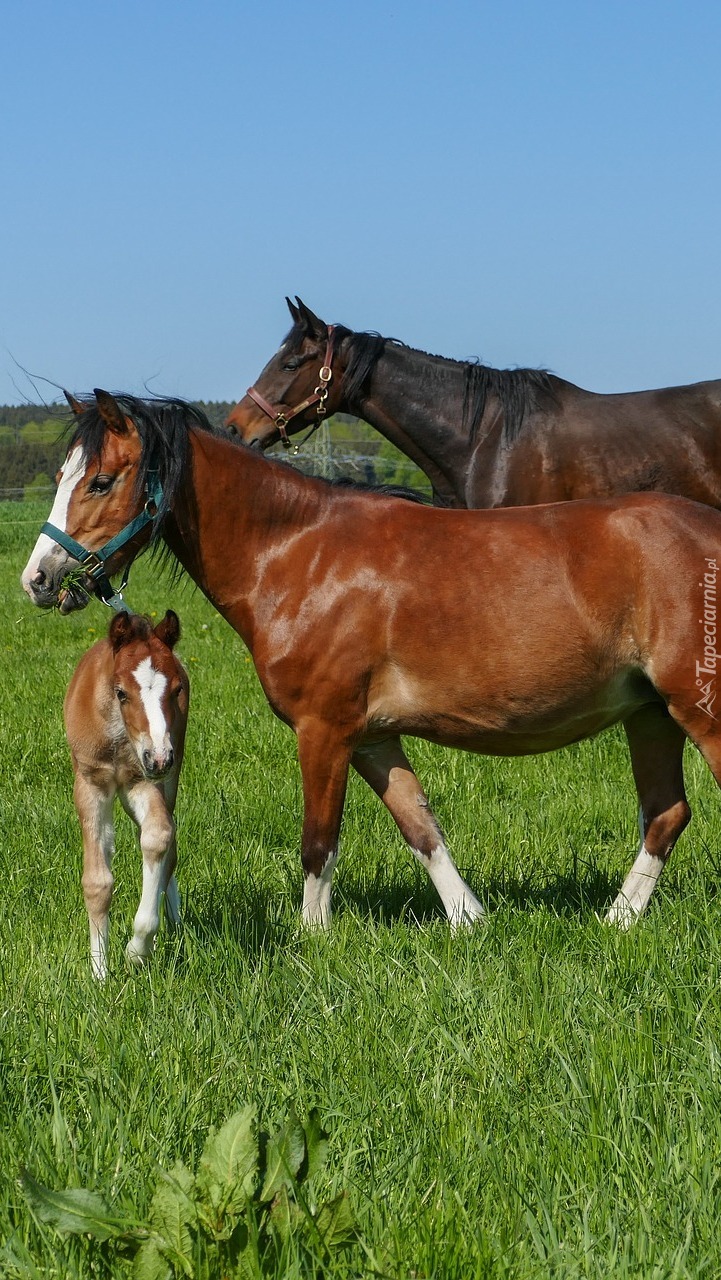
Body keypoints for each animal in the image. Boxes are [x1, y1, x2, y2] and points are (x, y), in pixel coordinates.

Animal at [18, 389, 721, 931]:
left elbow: (318, 842)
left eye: (101, 481)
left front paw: (312, 938)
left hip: (697, 711)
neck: (300, 554)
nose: (39, 579)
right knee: (666, 814)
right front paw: (469, 920)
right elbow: (420, 827)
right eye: (59, 479)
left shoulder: (324, 731)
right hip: (650, 714)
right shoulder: (373, 738)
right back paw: (617, 920)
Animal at [64, 609, 189, 977]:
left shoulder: (143, 781)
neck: (119, 739)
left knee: (167, 844)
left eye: (177, 688)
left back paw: (172, 923)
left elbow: (159, 838)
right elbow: (97, 882)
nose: (159, 757)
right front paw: (99, 974)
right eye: (121, 692)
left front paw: (138, 948)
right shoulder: (90, 784)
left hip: (167, 779)